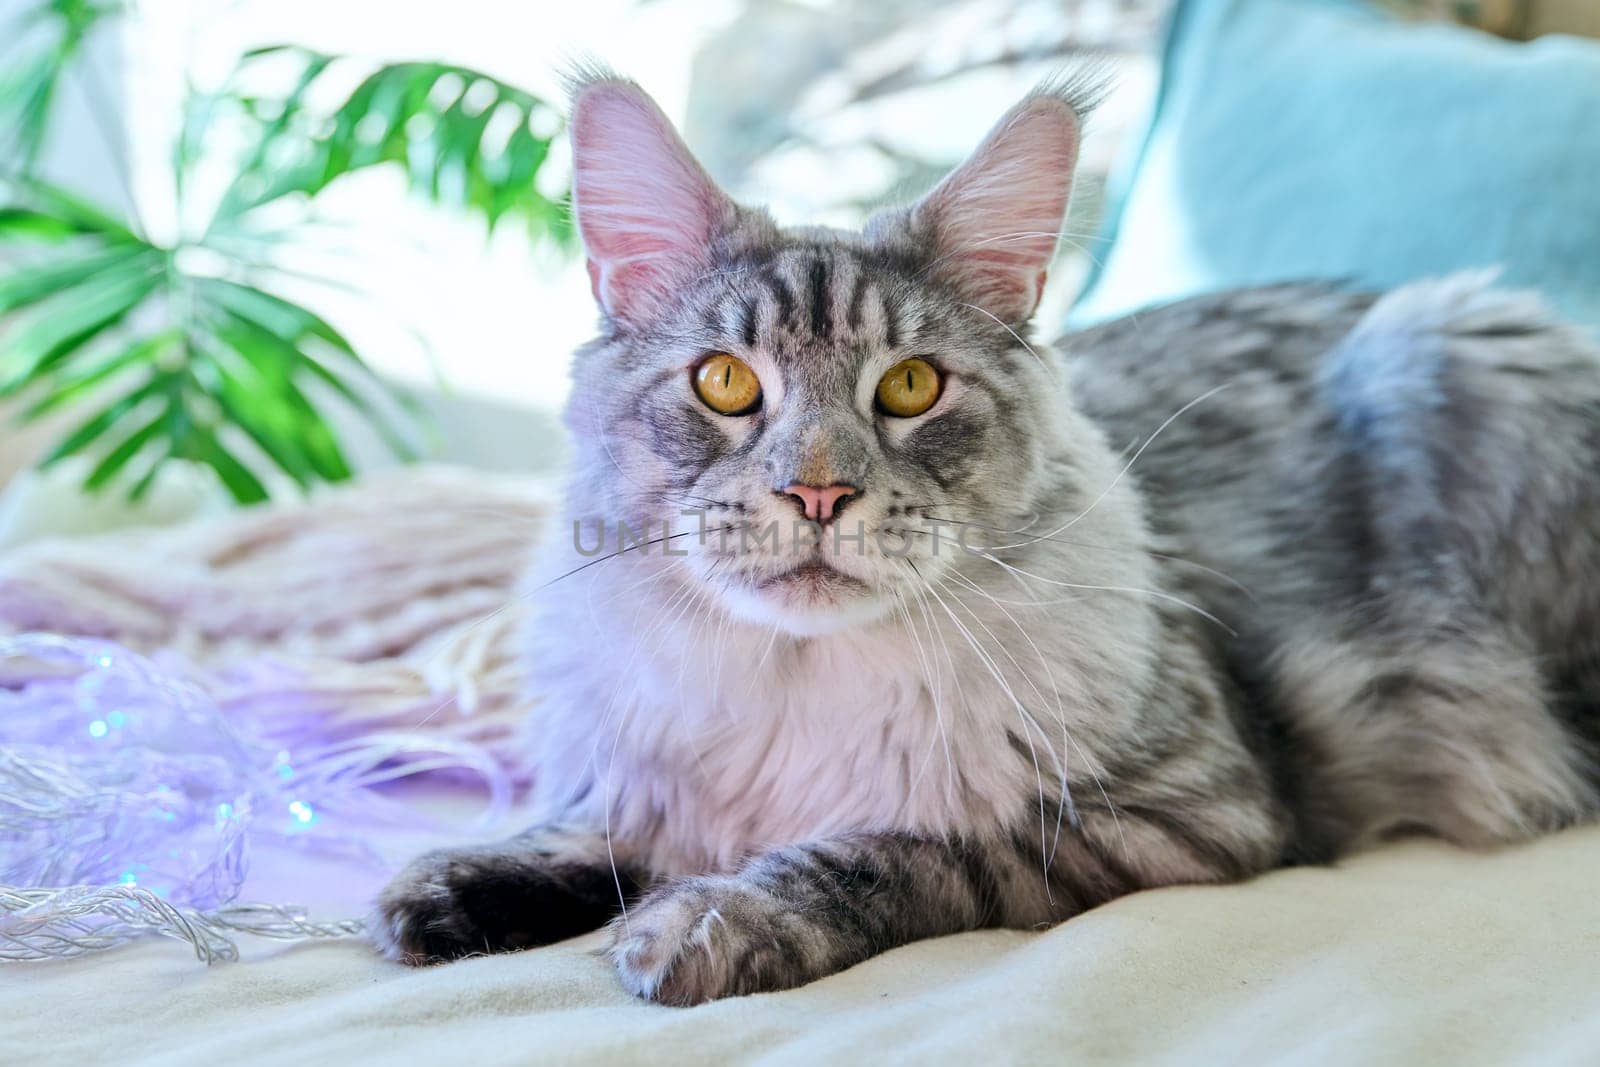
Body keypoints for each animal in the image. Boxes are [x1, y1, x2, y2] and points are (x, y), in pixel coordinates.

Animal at [368, 70, 1600, 1004]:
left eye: (911, 388)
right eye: (724, 383)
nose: (818, 493)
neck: (796, 685)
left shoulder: (1186, 813)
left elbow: (884, 851)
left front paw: (710, 922)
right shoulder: (651, 776)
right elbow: (599, 832)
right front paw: (451, 889)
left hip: (1449, 351)